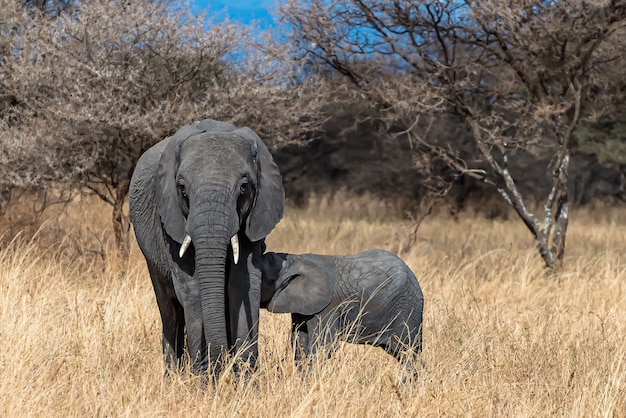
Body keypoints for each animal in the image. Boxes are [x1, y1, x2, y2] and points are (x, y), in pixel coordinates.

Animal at [129, 119, 282, 378]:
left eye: (244, 188)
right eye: (182, 189)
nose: (221, 366)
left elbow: (244, 284)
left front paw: (246, 381)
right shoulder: (171, 219)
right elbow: (192, 288)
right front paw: (205, 380)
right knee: (169, 311)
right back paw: (173, 377)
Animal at [256, 248, 422, 372]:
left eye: (266, 279)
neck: (295, 259)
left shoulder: (328, 306)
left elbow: (323, 344)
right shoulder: (302, 306)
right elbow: (299, 341)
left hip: (407, 308)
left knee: (408, 353)